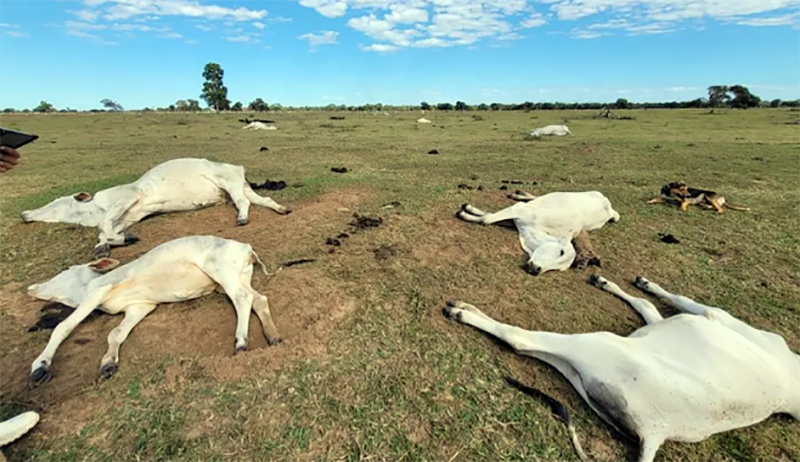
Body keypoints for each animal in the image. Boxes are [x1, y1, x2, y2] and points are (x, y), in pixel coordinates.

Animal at [21, 158, 290, 260]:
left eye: (55, 202)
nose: (24, 214)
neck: (95, 208)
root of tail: (237, 167)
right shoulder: (130, 216)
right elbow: (106, 230)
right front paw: (106, 245)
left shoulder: (129, 196)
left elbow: (104, 226)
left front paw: (118, 240)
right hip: (240, 188)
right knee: (263, 199)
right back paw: (282, 208)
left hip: (230, 184)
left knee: (244, 204)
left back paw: (243, 218)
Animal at [26, 236, 282, 384]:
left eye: (66, 270)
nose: (32, 288)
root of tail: (245, 247)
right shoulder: (140, 307)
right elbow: (116, 334)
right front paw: (108, 363)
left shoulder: (99, 290)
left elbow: (63, 326)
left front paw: (40, 366)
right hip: (238, 277)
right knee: (258, 299)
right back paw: (273, 336)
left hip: (222, 272)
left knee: (243, 298)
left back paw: (241, 341)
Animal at [446, 276, 800, 462]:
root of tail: (657, 431)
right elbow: (649, 305)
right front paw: (614, 282)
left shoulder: (713, 315)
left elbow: (675, 300)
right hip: (580, 372)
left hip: (598, 346)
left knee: (519, 339)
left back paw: (462, 311)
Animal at [456, 190, 620, 274]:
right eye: (561, 252)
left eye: (558, 269)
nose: (536, 269)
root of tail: (610, 209)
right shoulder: (520, 209)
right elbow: (488, 218)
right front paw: (465, 211)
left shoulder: (515, 219)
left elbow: (487, 216)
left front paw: (468, 211)